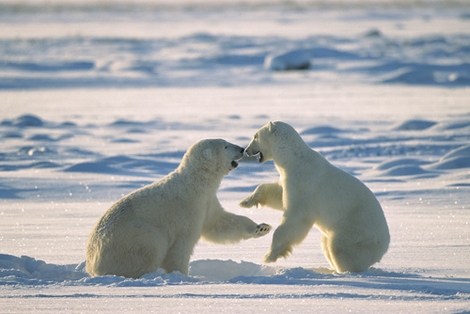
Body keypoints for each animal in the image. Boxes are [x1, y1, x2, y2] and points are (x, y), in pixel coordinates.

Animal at [86, 139, 272, 278]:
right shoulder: (187, 208)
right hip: (132, 236)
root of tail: (92, 263)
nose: (241, 149)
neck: (195, 183)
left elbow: (219, 223)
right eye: (225, 145)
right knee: (150, 247)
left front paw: (262, 227)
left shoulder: (207, 202)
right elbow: (182, 244)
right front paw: (181, 274)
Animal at [239, 121, 390, 274]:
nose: (246, 150)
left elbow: (296, 216)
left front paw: (269, 256)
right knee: (326, 244)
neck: (294, 159)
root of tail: (384, 245)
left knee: (340, 247)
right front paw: (245, 202)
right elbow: (278, 195)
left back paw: (344, 271)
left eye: (255, 136)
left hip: (355, 229)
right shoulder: (290, 180)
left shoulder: (304, 184)